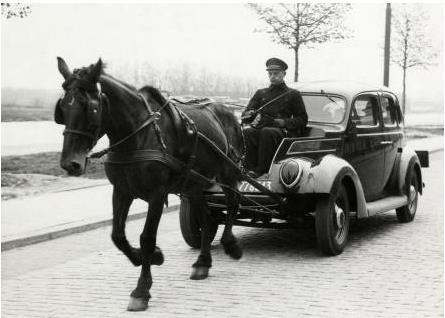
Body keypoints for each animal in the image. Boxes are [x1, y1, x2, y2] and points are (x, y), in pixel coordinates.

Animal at [55, 57, 245, 310]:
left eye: (89, 107)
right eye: (63, 107)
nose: (71, 163)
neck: (138, 134)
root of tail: (229, 111)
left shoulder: (157, 194)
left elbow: (146, 238)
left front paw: (142, 289)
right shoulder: (121, 191)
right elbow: (117, 236)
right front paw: (152, 256)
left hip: (228, 171)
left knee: (233, 202)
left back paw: (230, 245)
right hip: (194, 184)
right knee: (206, 217)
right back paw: (203, 262)